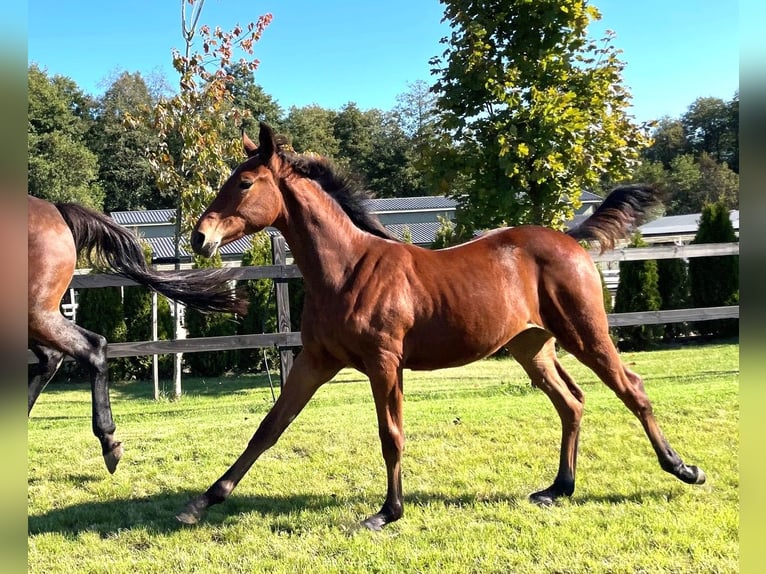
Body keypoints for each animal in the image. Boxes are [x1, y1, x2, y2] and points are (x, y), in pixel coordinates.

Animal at [180, 122, 705, 530]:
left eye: (245, 183)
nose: (200, 238)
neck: (347, 268)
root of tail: (571, 239)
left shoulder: (384, 363)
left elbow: (390, 434)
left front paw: (387, 512)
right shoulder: (316, 360)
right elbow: (269, 427)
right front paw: (202, 502)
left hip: (585, 332)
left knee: (631, 387)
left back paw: (683, 468)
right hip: (532, 348)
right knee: (571, 403)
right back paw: (558, 488)